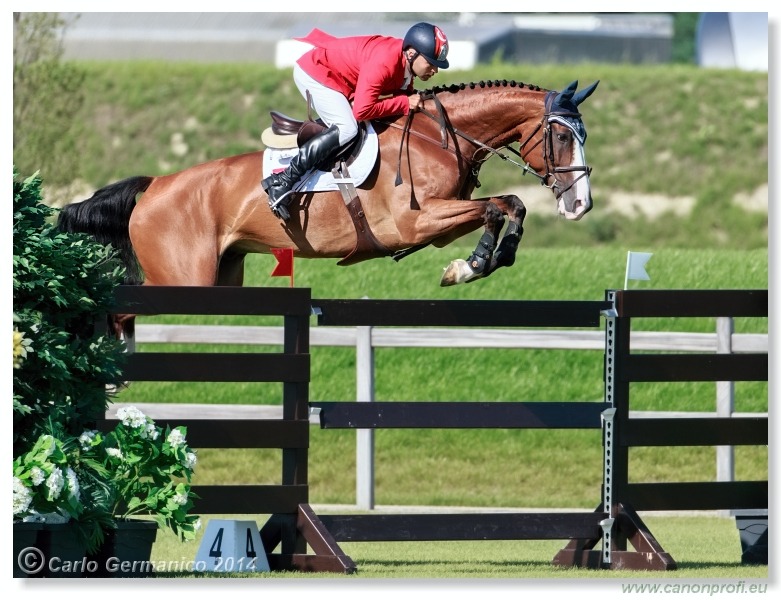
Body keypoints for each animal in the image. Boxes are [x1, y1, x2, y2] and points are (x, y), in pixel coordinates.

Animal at [58, 77, 600, 338]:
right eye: (559, 136)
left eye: (583, 135)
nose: (580, 204)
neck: (441, 136)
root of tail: (154, 186)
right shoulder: (417, 222)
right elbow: (496, 207)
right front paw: (468, 266)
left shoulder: (438, 223)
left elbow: (509, 205)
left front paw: (489, 259)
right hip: (183, 281)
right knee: (119, 310)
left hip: (221, 280)